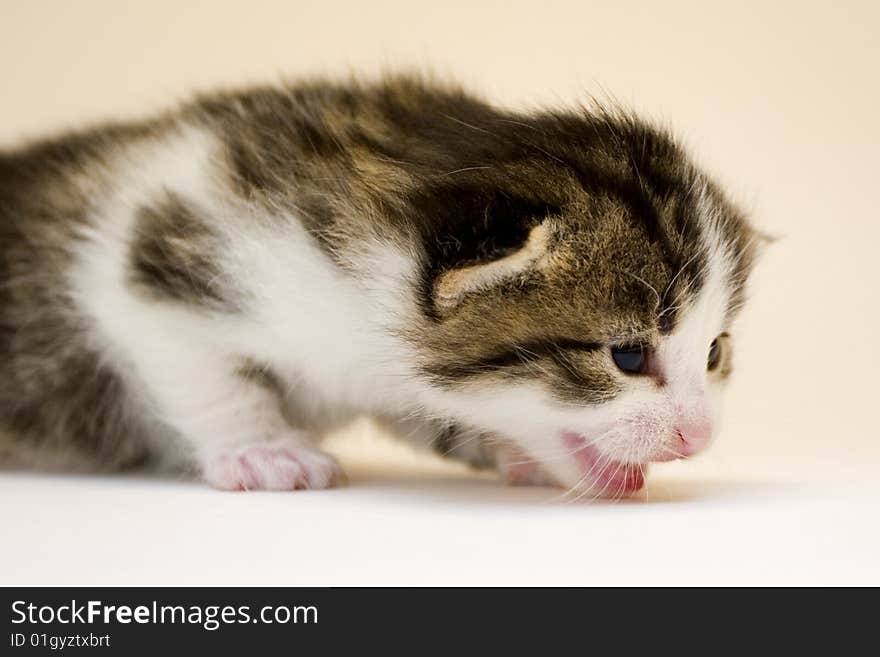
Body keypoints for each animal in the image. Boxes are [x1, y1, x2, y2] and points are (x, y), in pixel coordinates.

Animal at [0, 77, 756, 494]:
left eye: (715, 352)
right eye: (626, 355)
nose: (698, 436)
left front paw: (506, 447)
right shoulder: (148, 254)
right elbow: (206, 374)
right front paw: (262, 449)